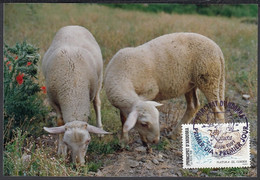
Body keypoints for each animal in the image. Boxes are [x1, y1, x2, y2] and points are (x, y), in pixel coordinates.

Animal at [41, 25, 109, 165]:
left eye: (88, 141)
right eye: (67, 142)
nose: (78, 164)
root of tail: (72, 26)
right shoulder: (53, 100)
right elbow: (60, 122)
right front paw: (61, 150)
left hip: (99, 79)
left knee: (97, 103)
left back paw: (100, 129)